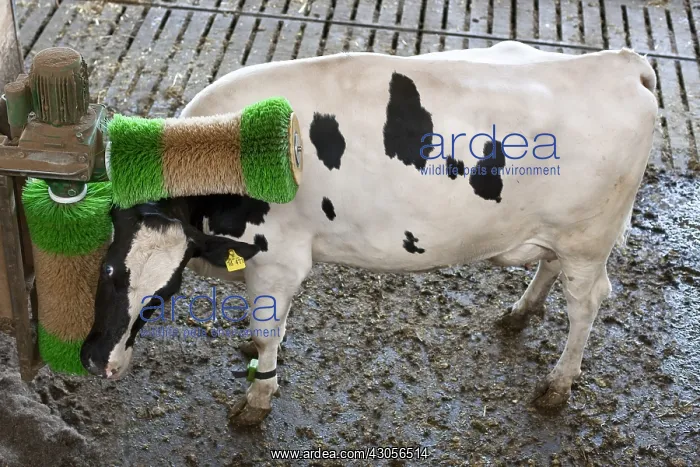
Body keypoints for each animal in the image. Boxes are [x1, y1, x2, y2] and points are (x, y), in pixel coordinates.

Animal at [80, 41, 658, 426]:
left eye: (164, 293)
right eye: (106, 267)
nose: (98, 362)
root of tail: (621, 61)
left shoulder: (278, 259)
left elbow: (267, 331)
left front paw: (256, 400)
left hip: (588, 239)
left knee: (586, 303)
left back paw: (557, 386)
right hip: (562, 234)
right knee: (550, 265)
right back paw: (521, 312)